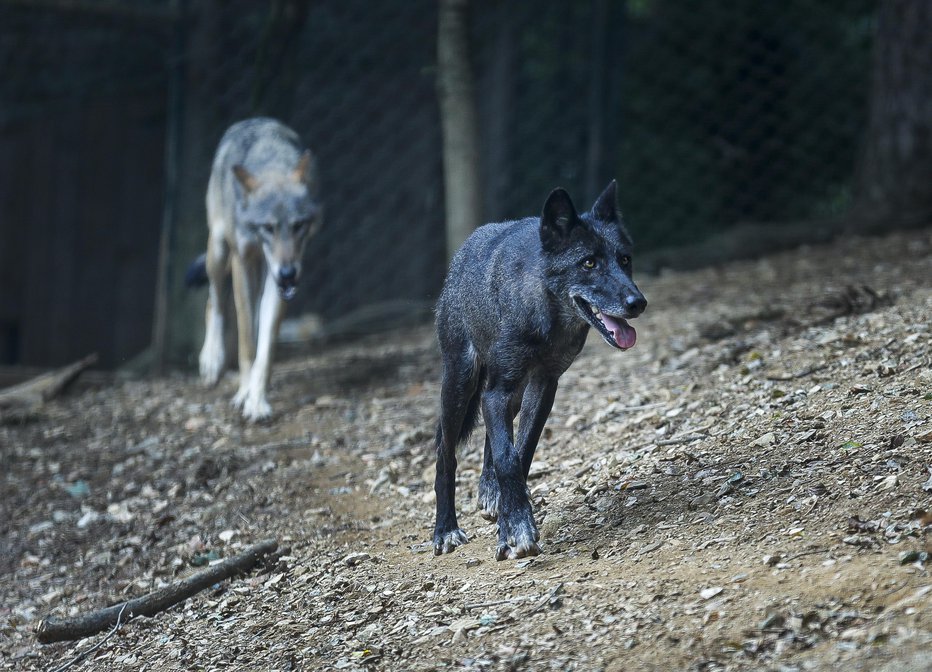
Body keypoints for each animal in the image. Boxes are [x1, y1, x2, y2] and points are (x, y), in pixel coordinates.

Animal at [187, 116, 322, 420]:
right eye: (268, 228)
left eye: (298, 226)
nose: (288, 274)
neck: (271, 163)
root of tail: (253, 119)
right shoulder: (242, 262)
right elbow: (247, 343)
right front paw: (244, 393)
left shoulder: (277, 281)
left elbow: (266, 346)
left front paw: (257, 400)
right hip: (218, 250)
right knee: (214, 302)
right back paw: (211, 360)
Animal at [432, 181, 644, 560]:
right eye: (588, 262)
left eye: (625, 259)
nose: (638, 303)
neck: (545, 317)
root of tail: (464, 251)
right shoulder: (499, 389)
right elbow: (507, 457)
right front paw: (518, 528)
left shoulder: (544, 385)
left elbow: (521, 451)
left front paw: (507, 523)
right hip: (461, 384)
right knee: (445, 453)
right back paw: (445, 530)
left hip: (510, 394)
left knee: (492, 438)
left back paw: (490, 494)